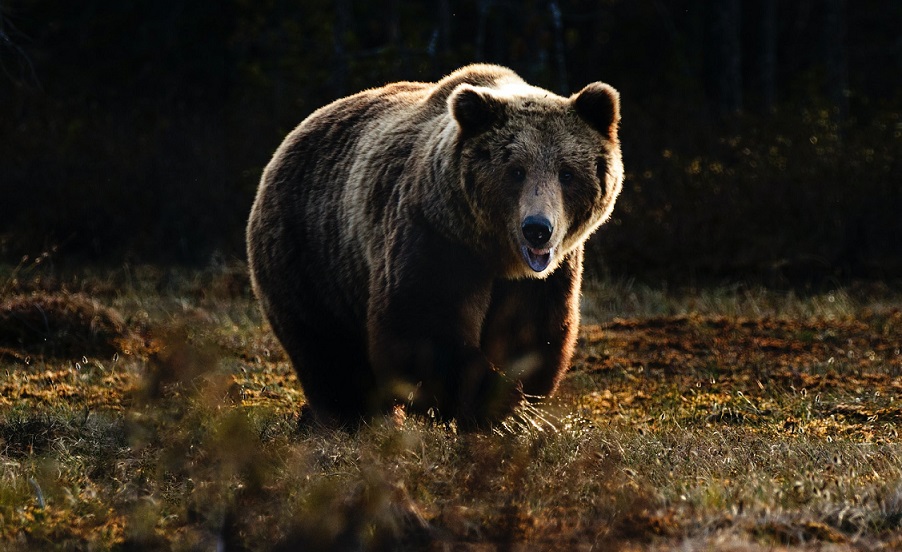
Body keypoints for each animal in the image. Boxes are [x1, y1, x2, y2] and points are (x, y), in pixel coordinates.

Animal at [249, 64, 628, 426]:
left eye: (567, 173)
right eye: (515, 171)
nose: (537, 229)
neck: (495, 253)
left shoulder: (547, 275)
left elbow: (532, 333)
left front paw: (516, 401)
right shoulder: (435, 237)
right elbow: (422, 328)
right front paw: (495, 405)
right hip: (312, 252)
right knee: (328, 349)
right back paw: (352, 417)